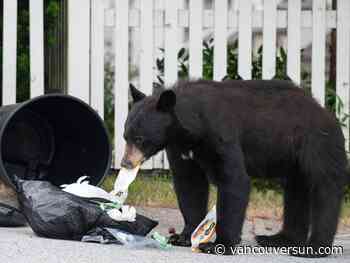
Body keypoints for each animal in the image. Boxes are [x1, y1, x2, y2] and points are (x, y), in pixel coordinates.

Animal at [120, 80, 348, 258]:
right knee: (295, 193)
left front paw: (218, 245)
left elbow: (234, 180)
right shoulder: (180, 149)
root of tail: (327, 112)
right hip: (294, 161)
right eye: (125, 136)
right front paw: (183, 236)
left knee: (325, 191)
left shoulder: (220, 135)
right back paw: (279, 239)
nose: (125, 163)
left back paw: (314, 247)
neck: (190, 129)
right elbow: (189, 185)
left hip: (317, 145)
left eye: (140, 139)